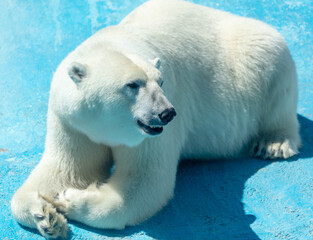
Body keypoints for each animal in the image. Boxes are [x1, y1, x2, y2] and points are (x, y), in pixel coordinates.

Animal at [11, 0, 300, 237]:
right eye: (132, 84)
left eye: (160, 82)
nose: (167, 113)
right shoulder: (72, 121)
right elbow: (66, 169)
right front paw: (46, 216)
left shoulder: (149, 134)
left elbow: (144, 183)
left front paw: (70, 199)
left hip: (252, 58)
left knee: (273, 71)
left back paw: (274, 143)